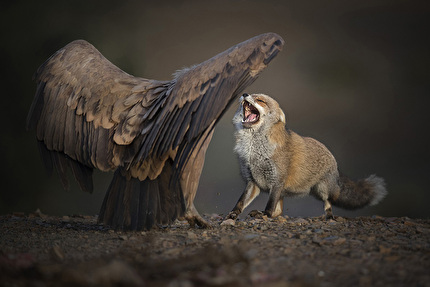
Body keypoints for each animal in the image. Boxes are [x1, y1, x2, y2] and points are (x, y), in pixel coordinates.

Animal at [227, 93, 388, 219]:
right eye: (251, 95)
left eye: (260, 100)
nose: (244, 94)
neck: (253, 151)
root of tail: (333, 159)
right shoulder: (252, 181)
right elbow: (241, 202)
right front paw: (233, 214)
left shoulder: (277, 181)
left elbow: (270, 205)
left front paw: (264, 215)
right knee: (279, 211)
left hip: (322, 189)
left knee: (328, 202)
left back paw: (328, 216)